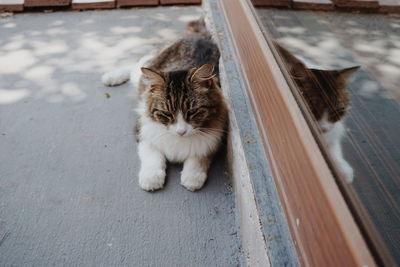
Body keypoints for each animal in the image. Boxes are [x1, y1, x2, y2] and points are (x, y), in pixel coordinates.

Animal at [103, 18, 228, 192]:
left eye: (193, 112)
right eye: (167, 114)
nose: (181, 132)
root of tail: (202, 37)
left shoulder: (213, 141)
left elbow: (198, 158)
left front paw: (192, 177)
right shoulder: (143, 132)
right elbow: (153, 157)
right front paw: (151, 178)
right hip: (144, 72)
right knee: (138, 64)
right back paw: (111, 76)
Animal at [276, 42, 360, 184]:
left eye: (337, 111)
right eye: (313, 108)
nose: (323, 128)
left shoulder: (334, 129)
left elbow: (334, 146)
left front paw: (343, 169)